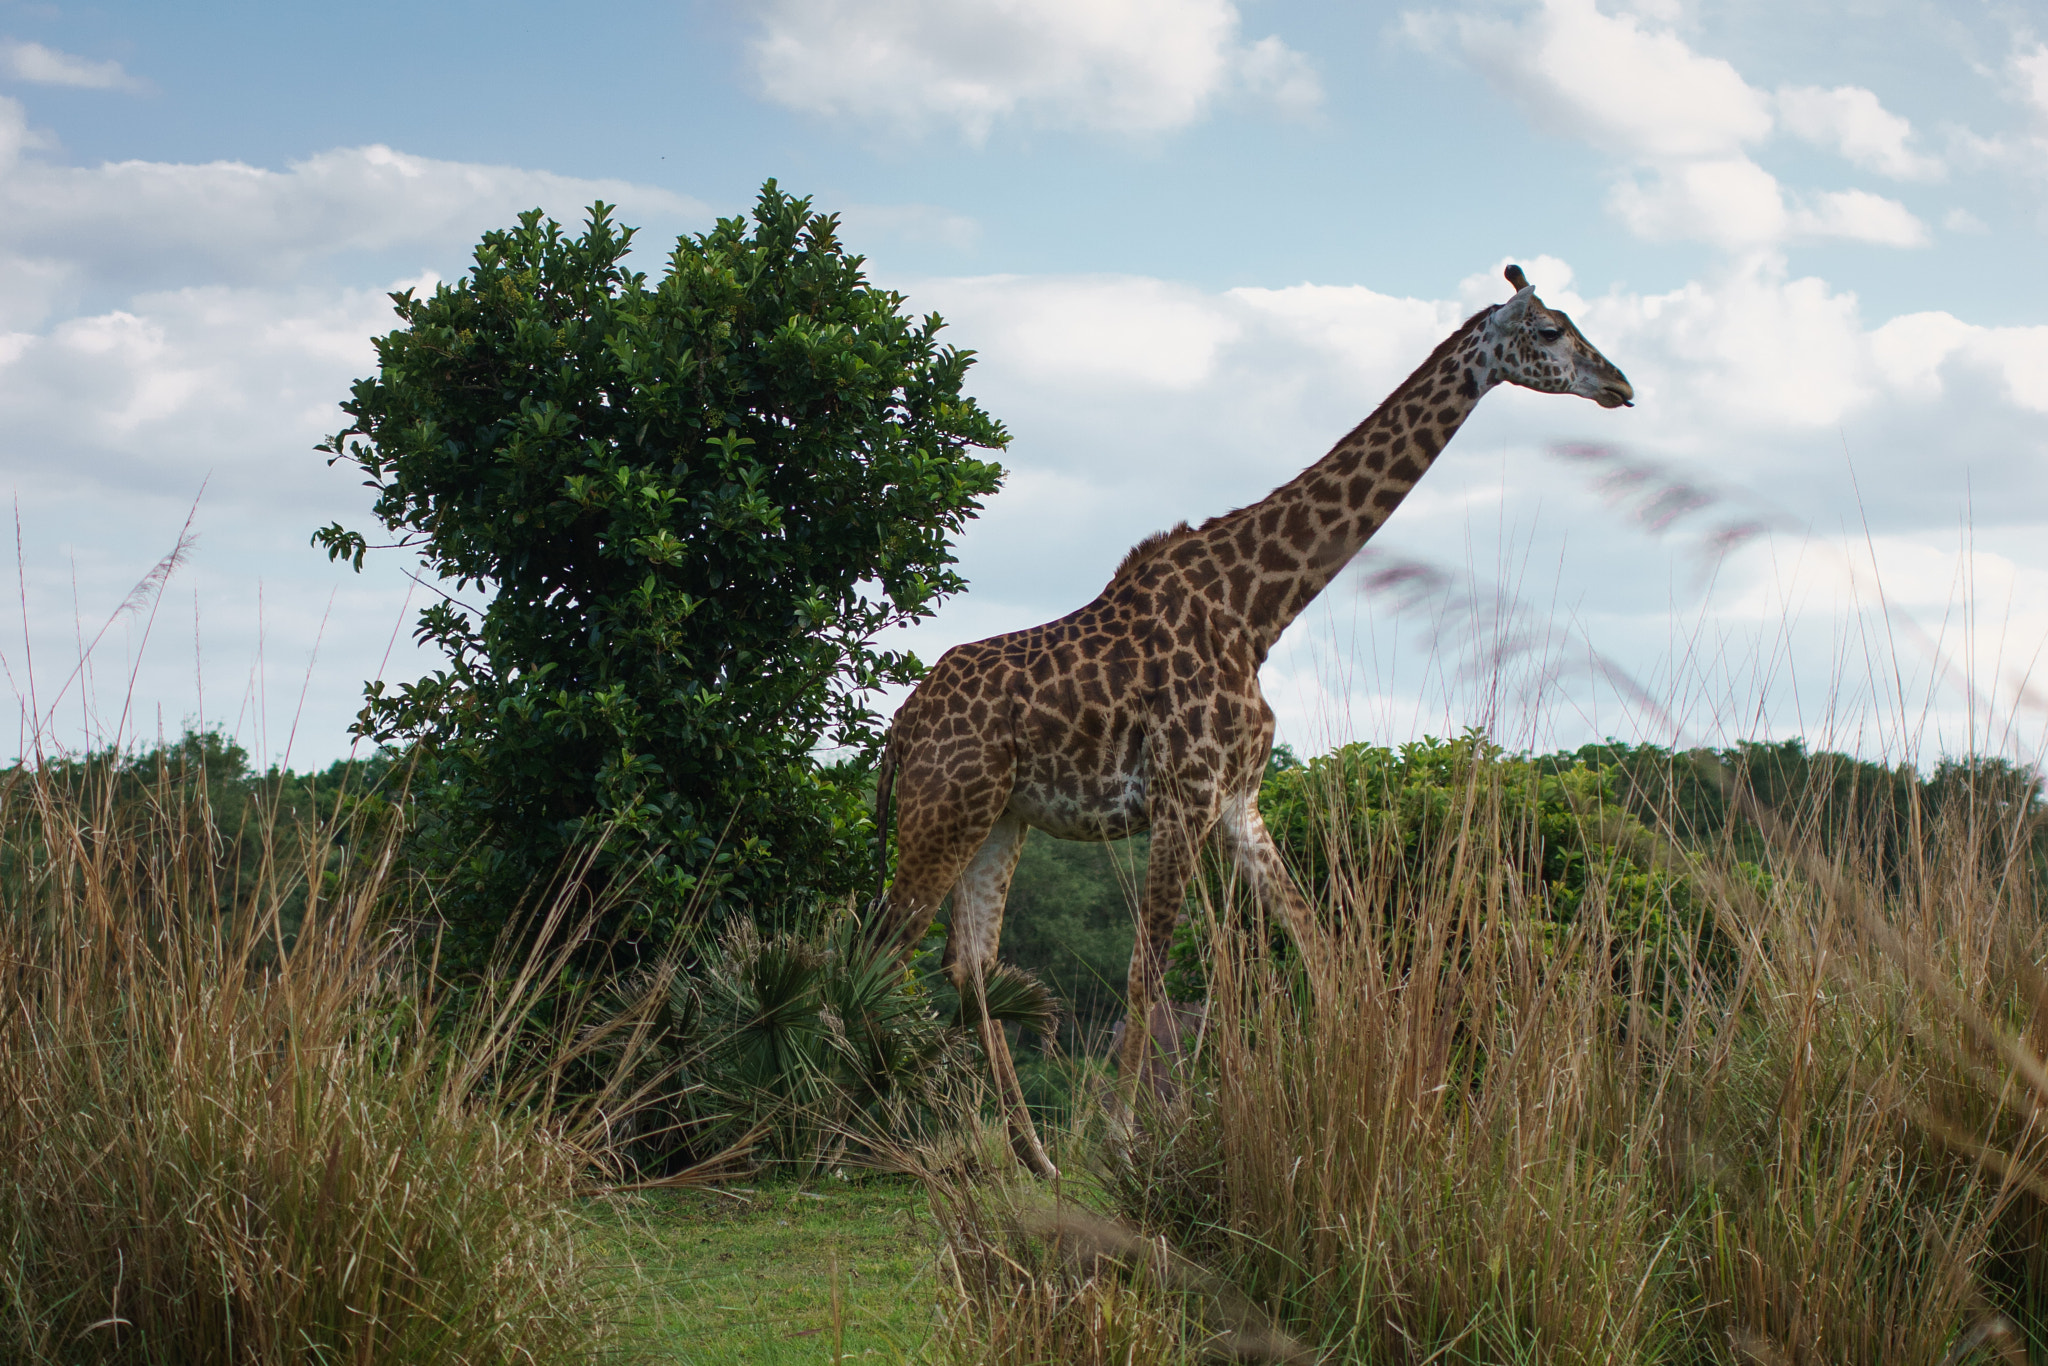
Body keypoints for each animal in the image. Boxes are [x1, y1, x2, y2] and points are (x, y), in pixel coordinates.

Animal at [876, 264, 1630, 1179]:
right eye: (1551, 330)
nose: (1620, 385)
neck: (1256, 609)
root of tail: (898, 730)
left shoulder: (1239, 799)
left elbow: (1316, 947)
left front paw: (1379, 1100)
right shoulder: (1184, 794)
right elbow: (1149, 968)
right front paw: (1124, 1140)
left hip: (996, 819)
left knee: (969, 964)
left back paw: (1035, 1156)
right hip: (940, 812)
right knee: (881, 947)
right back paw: (851, 1134)